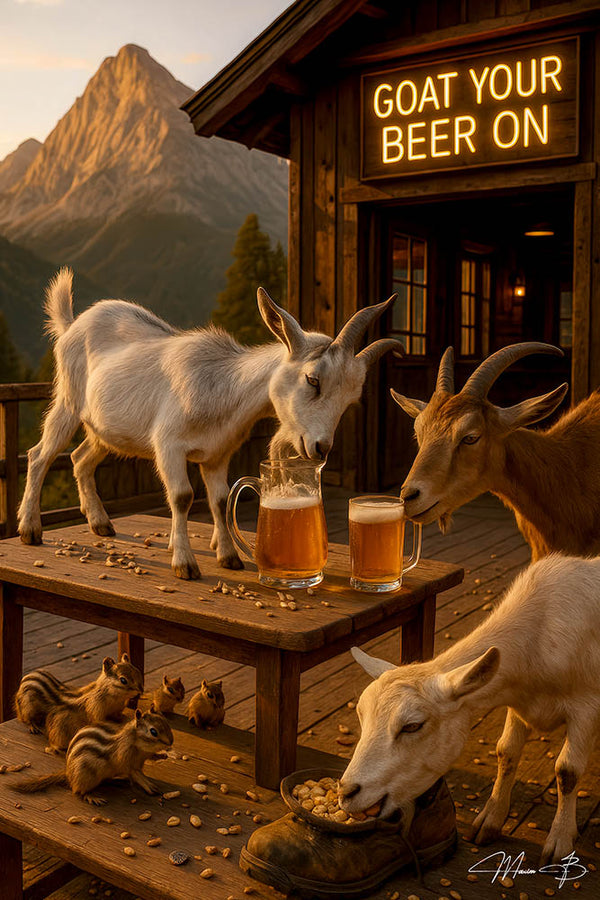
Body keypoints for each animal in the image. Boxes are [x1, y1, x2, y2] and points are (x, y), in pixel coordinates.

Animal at [18, 269, 402, 579]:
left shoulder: (218, 454)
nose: (320, 448)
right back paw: (30, 529)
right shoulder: (169, 445)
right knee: (40, 455)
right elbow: (183, 496)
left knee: (80, 458)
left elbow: (219, 500)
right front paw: (185, 564)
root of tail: (72, 324)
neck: (224, 390)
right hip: (68, 402)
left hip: (105, 431)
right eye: (313, 380)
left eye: (350, 400)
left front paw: (229, 557)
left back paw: (100, 524)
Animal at [339, 553, 600, 865]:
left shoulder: (587, 706)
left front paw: (559, 843)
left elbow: (567, 771)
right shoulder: (519, 702)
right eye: (361, 716)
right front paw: (489, 820)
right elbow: (506, 753)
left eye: (412, 726)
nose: (347, 792)